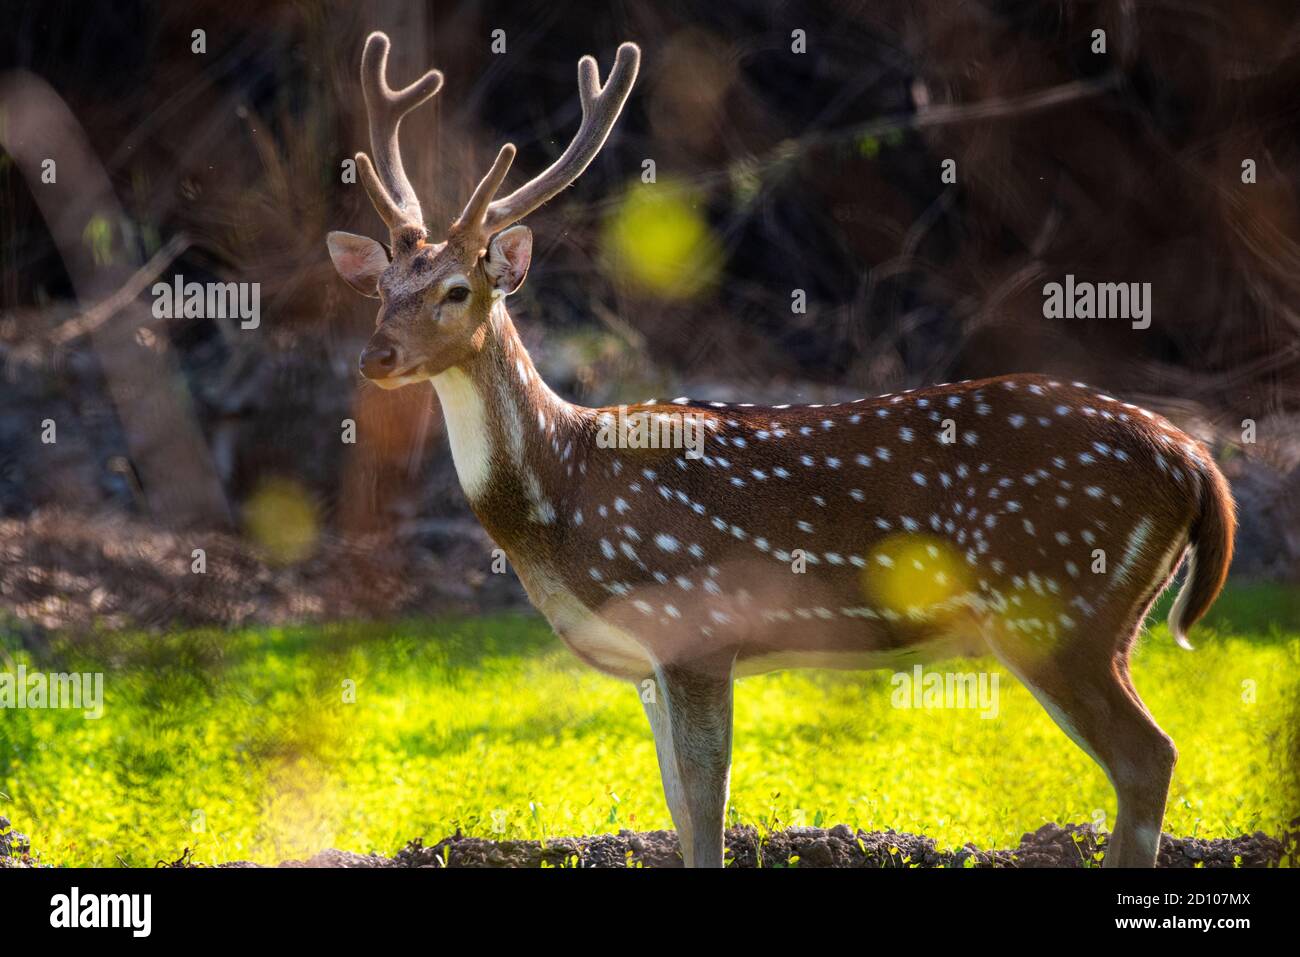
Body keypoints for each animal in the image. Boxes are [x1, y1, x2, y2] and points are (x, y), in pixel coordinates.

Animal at [326, 32, 1236, 868]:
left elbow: (706, 808)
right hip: (1098, 616)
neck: (563, 491)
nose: (375, 356)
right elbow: (676, 806)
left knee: (1148, 756)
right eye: (382, 288)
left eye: (458, 290)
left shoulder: (694, 626)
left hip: (1055, 601)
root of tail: (1197, 460)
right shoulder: (648, 663)